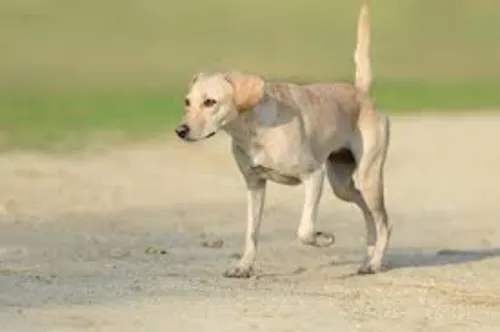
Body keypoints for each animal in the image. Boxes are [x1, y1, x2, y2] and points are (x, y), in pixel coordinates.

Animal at [176, 3, 390, 278]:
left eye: (210, 102)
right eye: (187, 102)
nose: (180, 130)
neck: (254, 131)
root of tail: (361, 93)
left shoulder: (314, 176)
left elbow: (304, 230)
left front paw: (322, 237)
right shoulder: (255, 185)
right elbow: (251, 232)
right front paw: (244, 266)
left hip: (367, 176)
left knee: (384, 221)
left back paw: (375, 262)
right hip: (342, 184)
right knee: (367, 213)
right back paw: (369, 257)